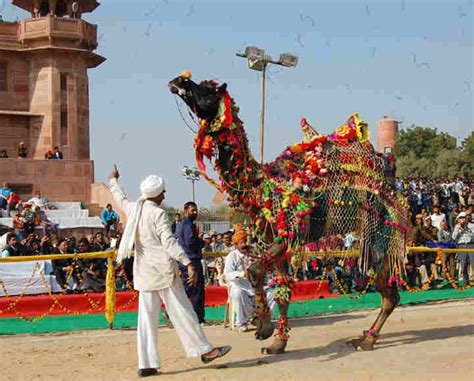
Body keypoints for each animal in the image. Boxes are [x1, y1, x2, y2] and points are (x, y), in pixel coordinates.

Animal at [169, 71, 408, 354]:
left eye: (208, 90)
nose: (178, 81)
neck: (261, 185)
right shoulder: (274, 240)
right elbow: (281, 287)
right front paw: (276, 342)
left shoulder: (288, 233)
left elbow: (255, 271)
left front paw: (264, 329)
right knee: (388, 291)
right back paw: (363, 337)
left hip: (380, 234)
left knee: (389, 292)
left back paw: (368, 340)